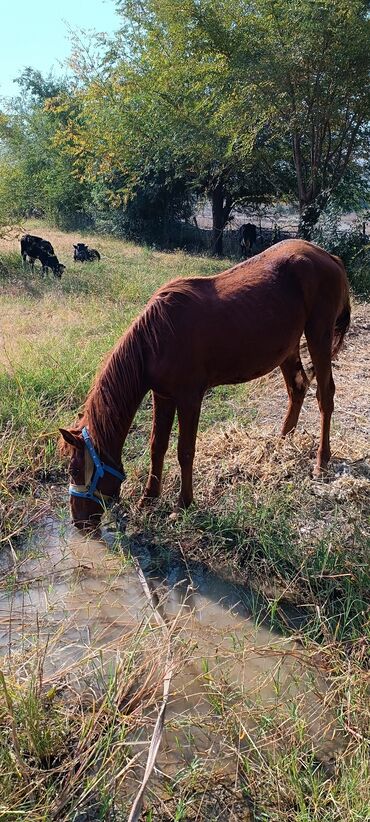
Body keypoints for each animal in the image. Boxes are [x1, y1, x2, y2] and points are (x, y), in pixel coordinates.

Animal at [60, 241, 350, 532]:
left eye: (75, 470)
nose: (78, 522)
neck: (156, 340)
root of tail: (329, 257)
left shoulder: (190, 398)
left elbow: (185, 451)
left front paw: (182, 505)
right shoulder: (162, 396)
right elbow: (157, 446)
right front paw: (148, 498)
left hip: (319, 338)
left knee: (325, 396)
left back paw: (321, 462)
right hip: (288, 348)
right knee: (297, 388)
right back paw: (280, 444)